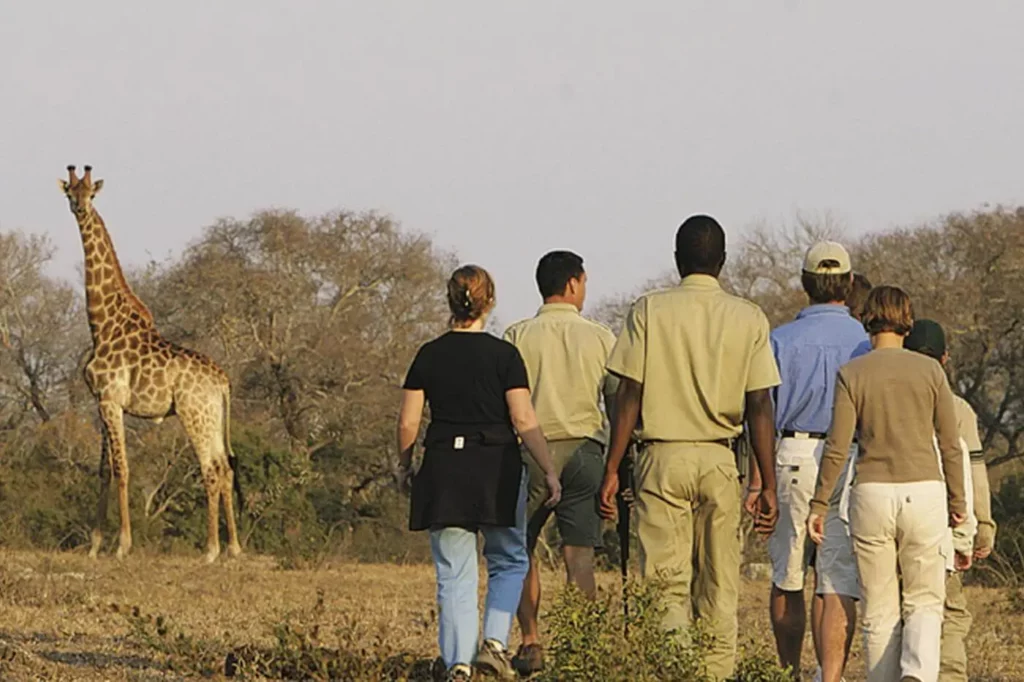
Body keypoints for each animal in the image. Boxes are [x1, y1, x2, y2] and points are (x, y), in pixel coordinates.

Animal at [59, 165, 243, 564]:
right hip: (212, 417)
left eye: (90, 194)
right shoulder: (101, 401)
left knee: (210, 469)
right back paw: (234, 548)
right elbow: (103, 471)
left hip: (194, 413)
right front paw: (94, 545)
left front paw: (122, 545)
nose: (80, 209)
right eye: (70, 193)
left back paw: (210, 550)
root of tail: (223, 381)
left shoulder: (111, 400)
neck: (102, 324)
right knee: (225, 468)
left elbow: (122, 468)